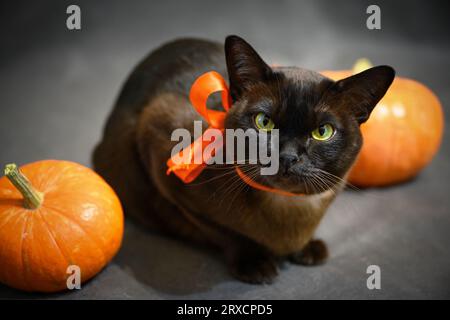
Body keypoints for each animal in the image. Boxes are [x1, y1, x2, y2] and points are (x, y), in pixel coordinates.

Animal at [94, 36, 394, 284]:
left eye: (322, 132)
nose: (287, 156)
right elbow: (226, 233)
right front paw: (256, 263)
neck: (287, 209)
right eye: (264, 122)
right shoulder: (163, 160)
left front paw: (307, 249)